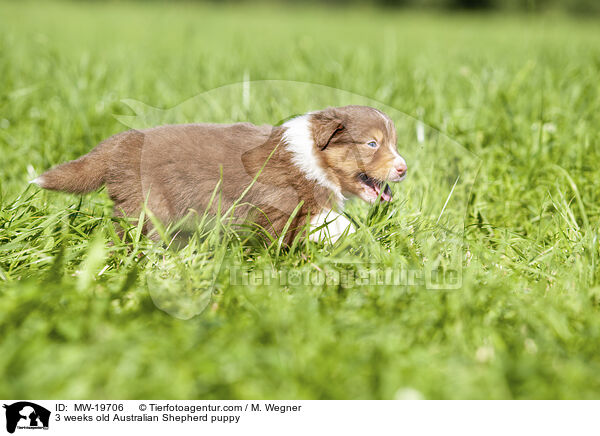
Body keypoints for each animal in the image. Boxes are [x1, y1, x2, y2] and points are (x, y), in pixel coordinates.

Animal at [34, 104, 408, 244]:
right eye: (372, 143)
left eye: (393, 142)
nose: (403, 168)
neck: (312, 157)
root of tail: (120, 143)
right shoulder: (279, 208)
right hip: (147, 206)